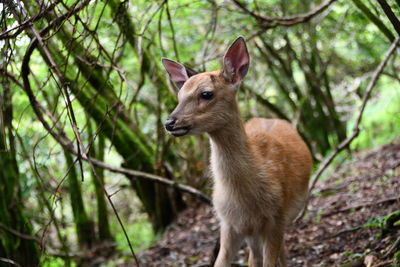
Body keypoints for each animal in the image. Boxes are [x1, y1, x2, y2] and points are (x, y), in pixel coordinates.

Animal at [161, 37, 310, 267]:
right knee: (256, 257)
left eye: (206, 93)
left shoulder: (276, 217)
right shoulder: (229, 223)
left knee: (280, 253)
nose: (169, 122)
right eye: (179, 95)